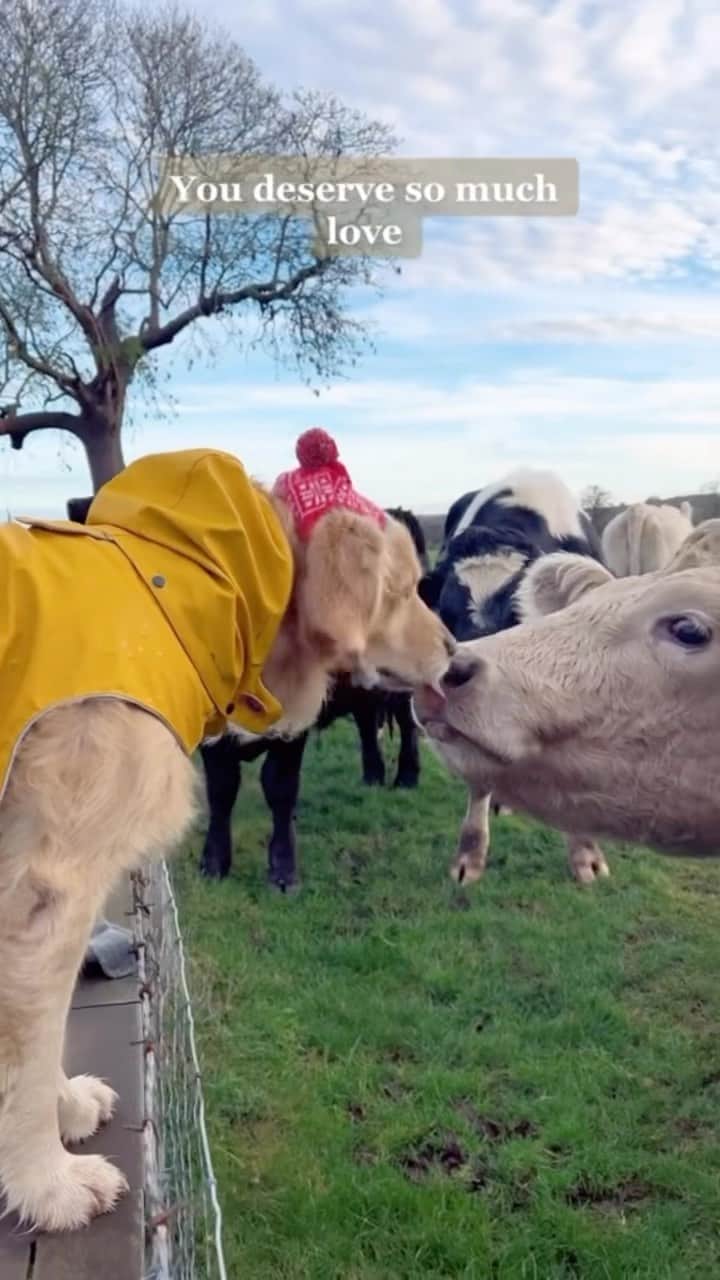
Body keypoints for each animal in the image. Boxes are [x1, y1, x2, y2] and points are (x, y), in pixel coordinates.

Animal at [200, 506, 429, 889]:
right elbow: (221, 788)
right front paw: (214, 863)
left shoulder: (295, 724)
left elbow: (279, 784)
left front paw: (283, 870)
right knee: (367, 724)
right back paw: (373, 775)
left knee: (407, 724)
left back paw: (406, 778)